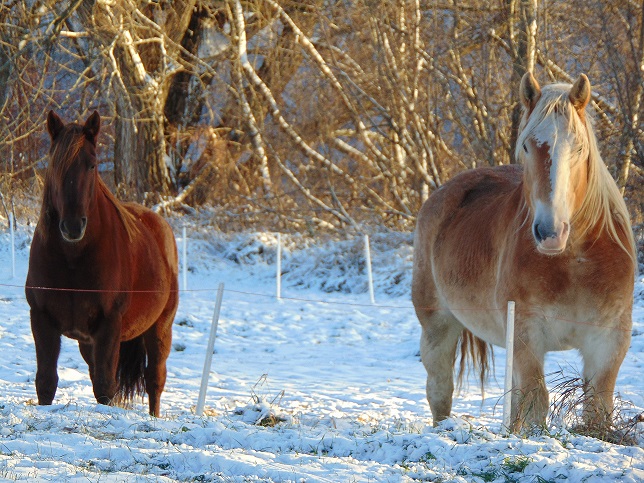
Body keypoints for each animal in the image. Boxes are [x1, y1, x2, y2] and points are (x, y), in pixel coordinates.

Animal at [25, 110, 179, 416]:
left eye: (92, 165)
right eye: (55, 164)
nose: (73, 226)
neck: (73, 259)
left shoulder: (109, 325)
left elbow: (107, 386)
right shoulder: (42, 319)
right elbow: (46, 382)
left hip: (159, 329)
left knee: (155, 379)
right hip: (89, 343)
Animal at [412, 73, 632, 432]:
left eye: (579, 147)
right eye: (527, 145)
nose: (550, 232)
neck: (575, 263)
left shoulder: (608, 341)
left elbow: (597, 409)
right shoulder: (527, 334)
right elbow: (535, 402)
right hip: (437, 325)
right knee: (440, 389)